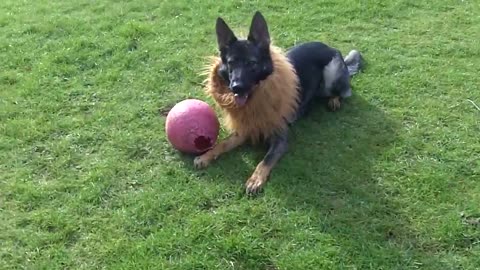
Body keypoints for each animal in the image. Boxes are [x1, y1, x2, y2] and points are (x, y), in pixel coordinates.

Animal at [193, 11, 362, 195]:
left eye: (251, 63)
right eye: (231, 63)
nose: (236, 87)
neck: (258, 97)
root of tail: (332, 49)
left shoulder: (280, 140)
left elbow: (265, 160)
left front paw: (255, 179)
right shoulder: (244, 129)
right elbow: (223, 143)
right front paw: (206, 156)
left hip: (331, 75)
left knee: (345, 91)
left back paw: (334, 100)